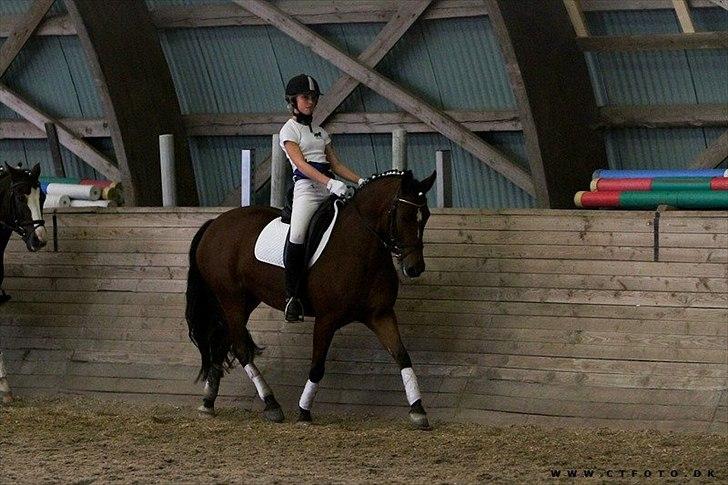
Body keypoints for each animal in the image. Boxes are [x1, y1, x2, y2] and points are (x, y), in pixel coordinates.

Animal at [186, 169, 436, 428]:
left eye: (426, 216)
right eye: (404, 217)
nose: (415, 268)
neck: (360, 248)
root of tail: (215, 223)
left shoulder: (380, 315)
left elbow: (402, 356)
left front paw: (418, 410)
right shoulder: (326, 319)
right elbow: (317, 366)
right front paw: (304, 412)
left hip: (244, 301)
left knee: (222, 344)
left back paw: (208, 403)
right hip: (231, 299)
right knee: (240, 348)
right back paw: (271, 404)